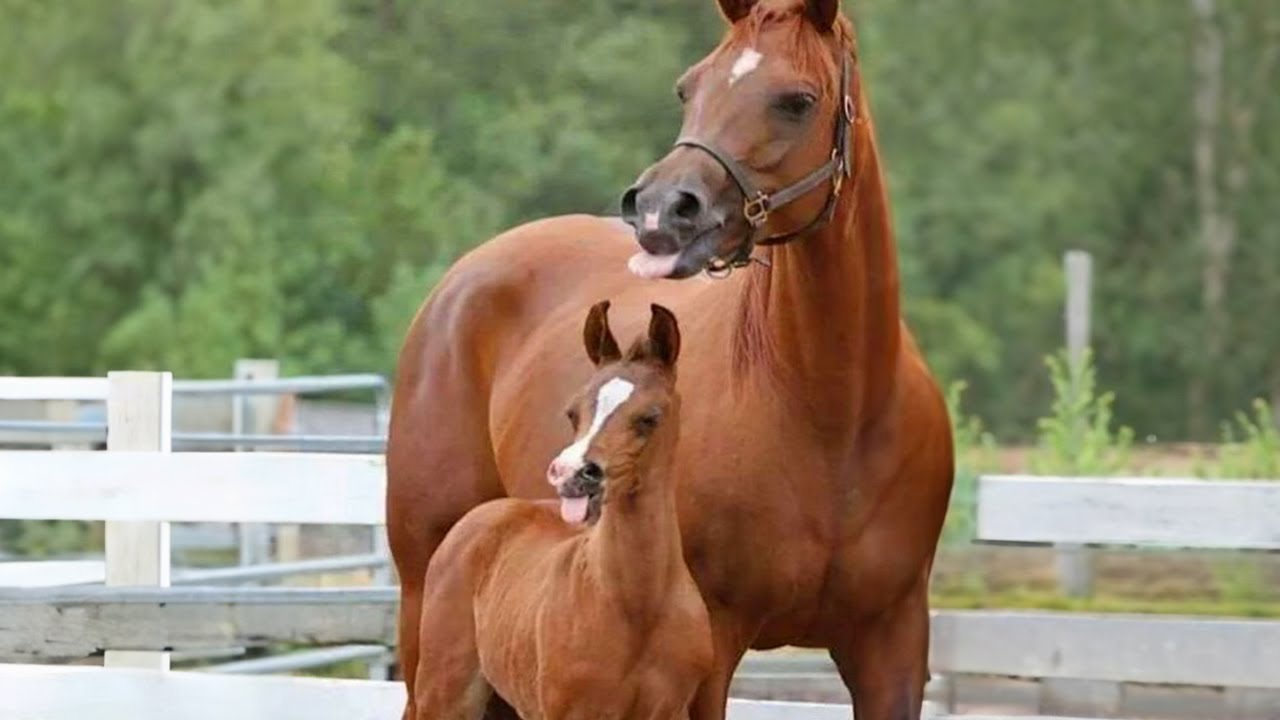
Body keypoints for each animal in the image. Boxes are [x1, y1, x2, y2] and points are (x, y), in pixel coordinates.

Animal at [412, 302, 712, 719]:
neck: (636, 605)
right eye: (572, 413)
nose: (570, 473)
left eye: (650, 417)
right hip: (445, 690)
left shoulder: (670, 709)